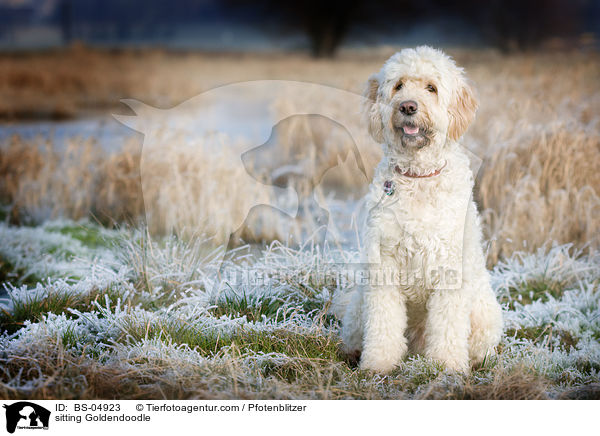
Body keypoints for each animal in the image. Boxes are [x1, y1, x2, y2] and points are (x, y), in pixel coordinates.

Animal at [342, 47, 502, 372]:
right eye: (399, 85)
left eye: (431, 88)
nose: (408, 106)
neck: (418, 176)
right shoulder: (384, 265)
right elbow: (384, 322)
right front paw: (378, 363)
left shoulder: (450, 267)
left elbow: (448, 324)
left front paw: (447, 366)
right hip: (357, 308)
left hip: (484, 313)